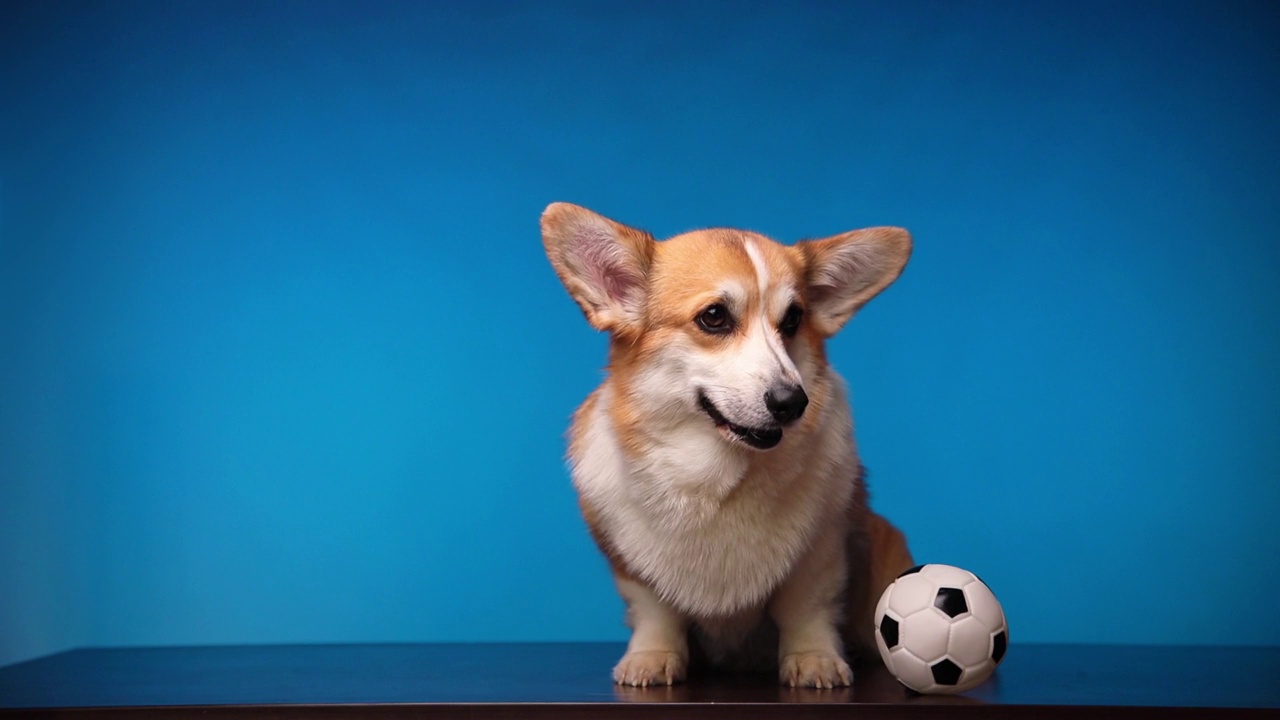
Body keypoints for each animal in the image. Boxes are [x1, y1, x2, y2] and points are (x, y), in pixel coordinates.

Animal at [545, 204, 916, 686]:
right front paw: (651, 656)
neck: (715, 475)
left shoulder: (822, 551)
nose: (793, 402)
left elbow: (807, 608)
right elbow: (654, 611)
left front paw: (814, 658)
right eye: (714, 317)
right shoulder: (630, 564)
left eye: (793, 320)